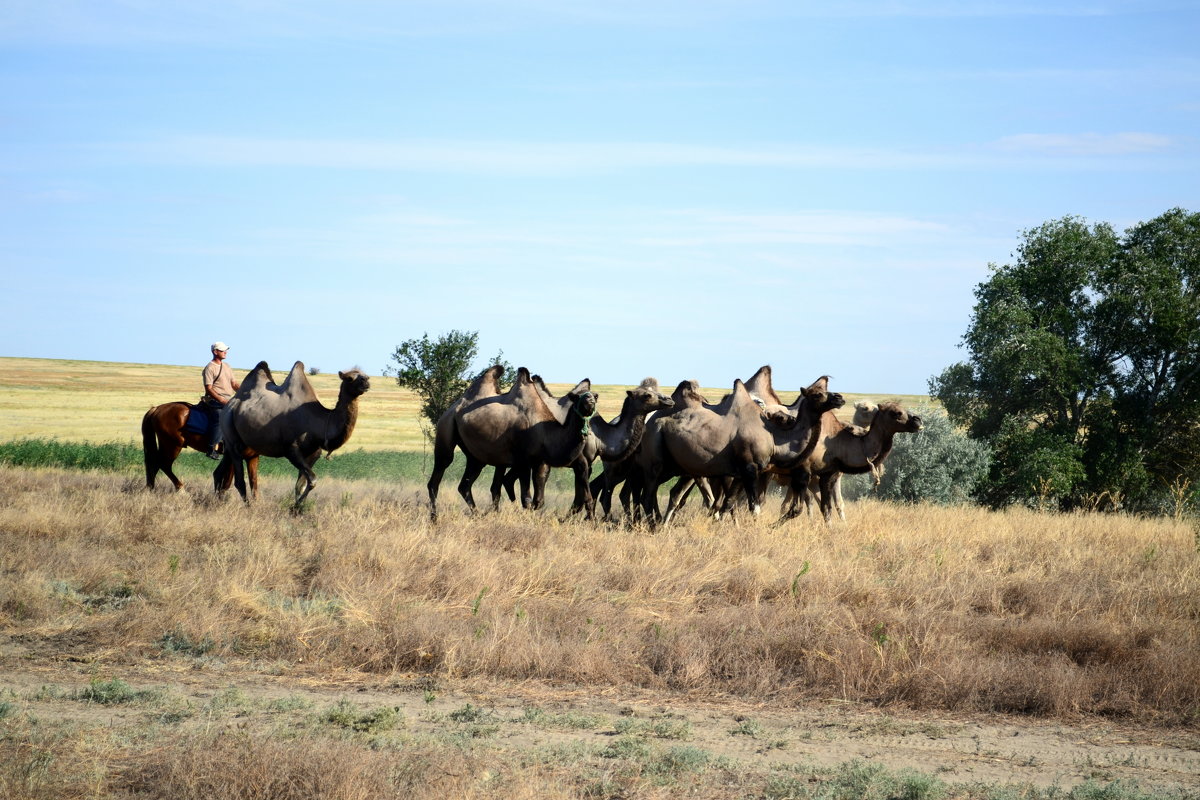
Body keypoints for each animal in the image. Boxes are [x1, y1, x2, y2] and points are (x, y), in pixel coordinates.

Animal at [213, 362, 367, 506]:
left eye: (365, 375)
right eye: (349, 378)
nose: (366, 382)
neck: (318, 421)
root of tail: (229, 405)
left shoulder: (313, 453)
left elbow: (301, 485)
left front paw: (297, 509)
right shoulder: (291, 449)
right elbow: (313, 480)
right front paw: (296, 506)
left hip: (238, 445)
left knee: (222, 473)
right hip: (231, 434)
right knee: (239, 481)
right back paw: (248, 507)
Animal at [638, 376, 844, 525]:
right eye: (817, 394)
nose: (839, 397)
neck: (774, 438)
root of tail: (650, 421)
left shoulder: (739, 472)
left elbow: (729, 503)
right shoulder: (750, 468)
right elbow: (754, 507)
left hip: (675, 465)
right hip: (656, 456)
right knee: (648, 494)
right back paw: (652, 526)